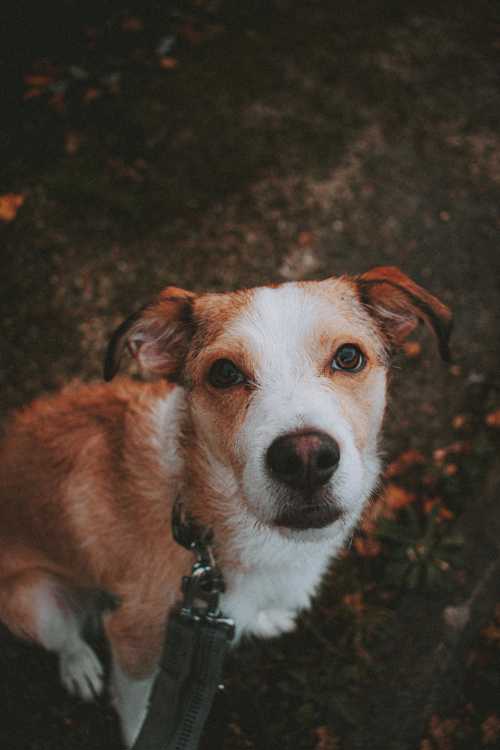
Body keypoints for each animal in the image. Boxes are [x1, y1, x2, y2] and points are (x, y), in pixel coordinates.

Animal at [0, 268, 452, 748]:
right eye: (224, 373)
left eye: (349, 357)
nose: (305, 458)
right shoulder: (134, 638)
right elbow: (140, 710)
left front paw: (266, 616)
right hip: (34, 601)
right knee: (65, 636)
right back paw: (80, 665)